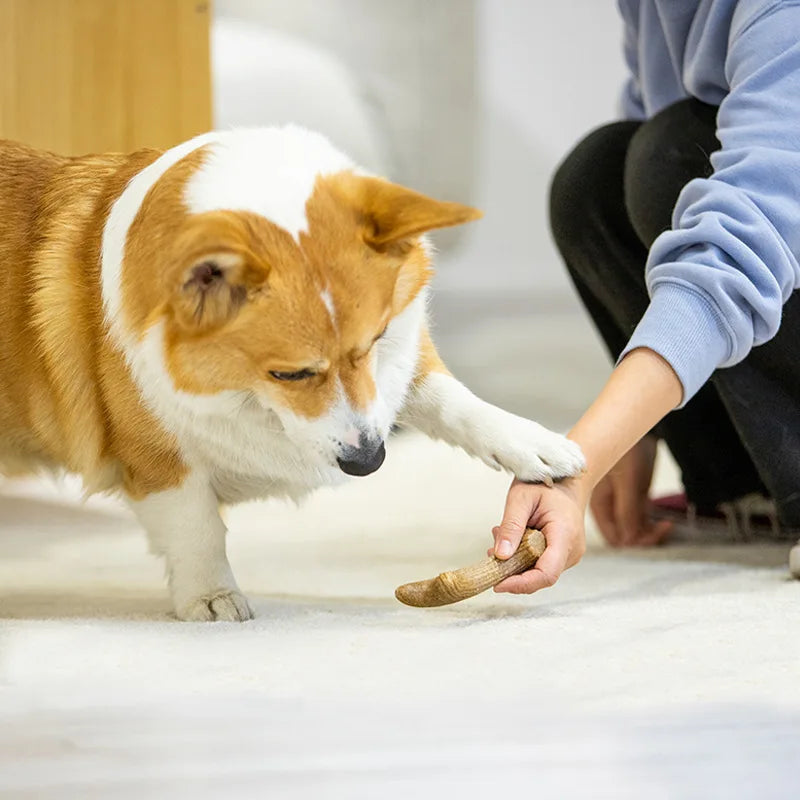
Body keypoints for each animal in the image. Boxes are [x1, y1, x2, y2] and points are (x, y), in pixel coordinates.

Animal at [0, 128, 584, 620]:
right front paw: (212, 599)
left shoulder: (397, 365)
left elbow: (452, 400)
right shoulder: (159, 460)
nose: (369, 463)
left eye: (375, 340)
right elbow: (197, 530)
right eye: (289, 374)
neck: (247, 397)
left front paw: (538, 446)